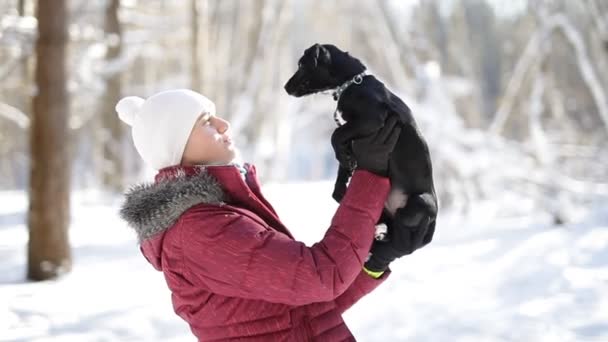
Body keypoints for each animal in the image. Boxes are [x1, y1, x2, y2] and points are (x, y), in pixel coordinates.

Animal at [284, 43, 436, 251]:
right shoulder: (353, 134)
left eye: (301, 65)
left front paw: (344, 159)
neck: (352, 84)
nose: (285, 87)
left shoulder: (371, 119)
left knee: (400, 232)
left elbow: (335, 135)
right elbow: (341, 163)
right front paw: (342, 182)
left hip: (419, 202)